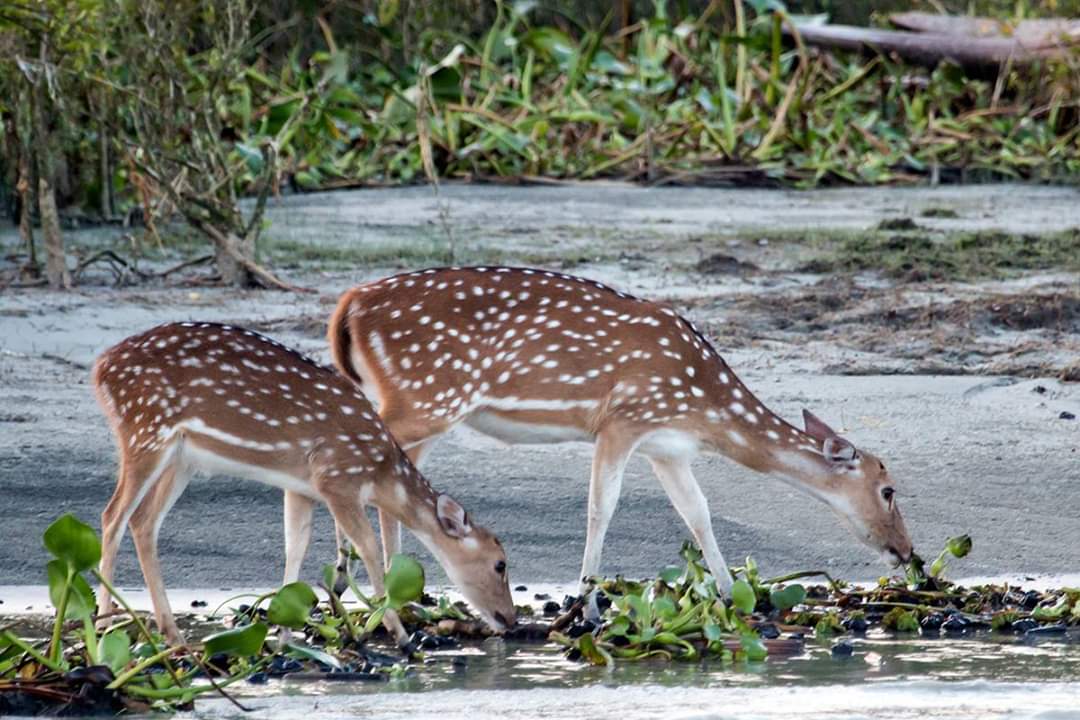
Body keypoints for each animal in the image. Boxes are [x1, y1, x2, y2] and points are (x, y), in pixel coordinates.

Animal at [91, 323, 514, 643]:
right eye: (500, 564)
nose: (510, 619)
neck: (379, 472)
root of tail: (100, 366)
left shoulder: (300, 486)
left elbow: (295, 546)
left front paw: (283, 632)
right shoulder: (335, 479)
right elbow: (370, 549)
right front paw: (399, 634)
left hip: (181, 458)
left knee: (143, 521)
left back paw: (171, 633)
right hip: (145, 430)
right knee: (113, 515)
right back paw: (104, 625)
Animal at [328, 267, 911, 595]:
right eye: (888, 489)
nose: (907, 552)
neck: (706, 407)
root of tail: (349, 304)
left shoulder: (666, 446)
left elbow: (697, 513)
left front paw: (735, 596)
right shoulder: (622, 419)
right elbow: (600, 508)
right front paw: (583, 604)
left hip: (424, 402)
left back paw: (389, 589)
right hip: (428, 394)